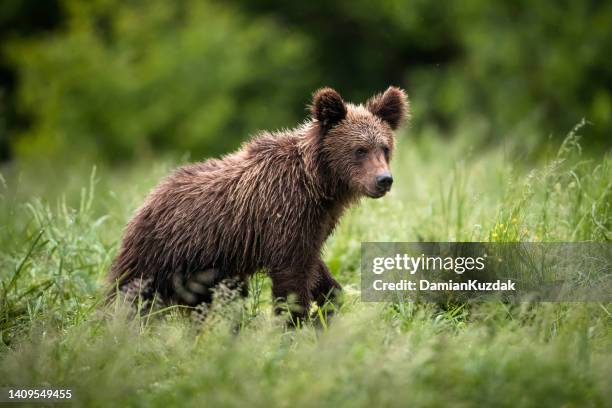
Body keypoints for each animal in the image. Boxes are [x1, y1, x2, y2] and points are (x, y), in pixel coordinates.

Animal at [107, 86, 408, 322]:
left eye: (384, 147)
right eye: (360, 150)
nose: (384, 180)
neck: (319, 184)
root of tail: (149, 197)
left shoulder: (314, 224)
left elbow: (315, 269)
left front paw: (328, 306)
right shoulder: (284, 214)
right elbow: (291, 280)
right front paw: (293, 324)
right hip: (163, 252)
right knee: (130, 294)